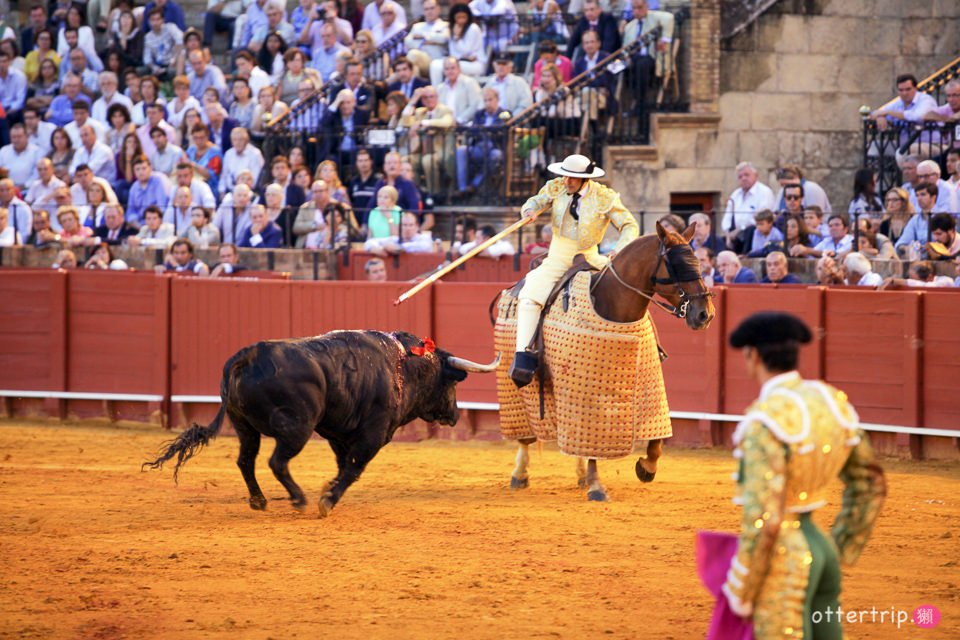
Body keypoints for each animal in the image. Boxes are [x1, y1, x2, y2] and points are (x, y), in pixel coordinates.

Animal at [148, 332, 502, 516]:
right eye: (451, 382)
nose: (455, 414)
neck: (403, 364)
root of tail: (248, 356)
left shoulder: (338, 432)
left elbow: (343, 464)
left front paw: (329, 489)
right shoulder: (373, 435)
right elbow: (354, 467)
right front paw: (327, 499)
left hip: (244, 426)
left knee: (245, 460)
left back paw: (259, 501)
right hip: (297, 428)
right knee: (276, 462)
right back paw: (299, 500)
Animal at [506, 222, 716, 502]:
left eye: (699, 263)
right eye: (677, 266)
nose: (705, 314)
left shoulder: (650, 387)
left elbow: (657, 437)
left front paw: (646, 467)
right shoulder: (590, 393)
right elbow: (594, 442)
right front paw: (597, 486)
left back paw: (579, 475)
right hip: (518, 384)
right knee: (525, 434)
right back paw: (520, 473)